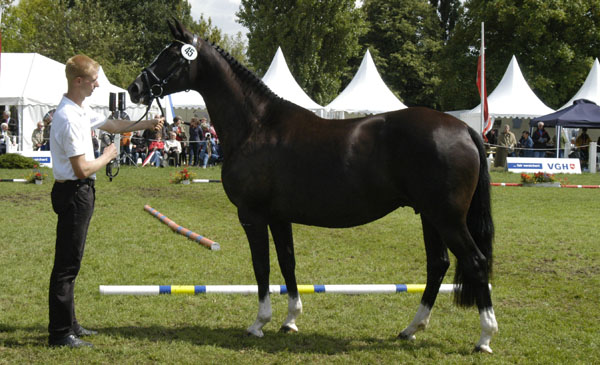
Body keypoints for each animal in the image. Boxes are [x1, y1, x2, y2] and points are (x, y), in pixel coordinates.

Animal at [129, 20, 500, 352]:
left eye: (171, 55)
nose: (135, 88)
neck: (257, 125)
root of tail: (465, 130)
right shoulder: (279, 217)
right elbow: (287, 262)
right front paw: (290, 320)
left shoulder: (252, 215)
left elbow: (262, 266)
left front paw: (259, 323)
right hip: (430, 216)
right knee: (438, 264)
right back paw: (411, 329)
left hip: (447, 218)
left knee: (475, 262)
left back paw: (484, 338)